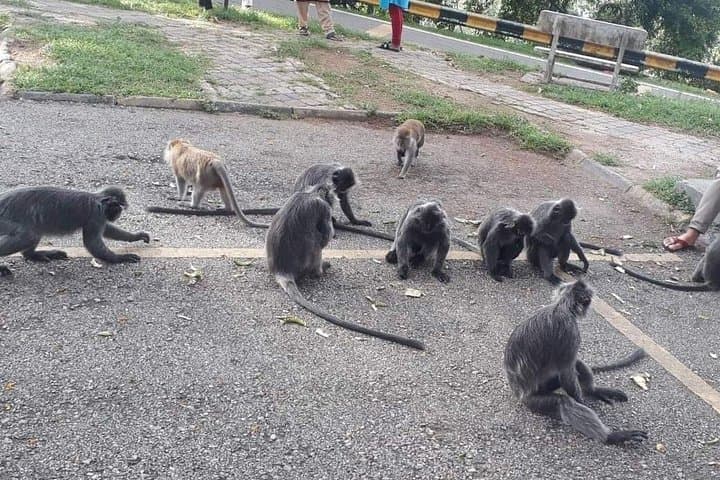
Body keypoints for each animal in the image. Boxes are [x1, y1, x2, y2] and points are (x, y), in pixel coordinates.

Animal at [0, 186, 150, 276]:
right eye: (118, 207)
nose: (118, 214)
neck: (97, 199)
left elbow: (107, 230)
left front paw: (136, 236)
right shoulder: (96, 214)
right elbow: (92, 243)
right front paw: (121, 258)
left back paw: (32, 255)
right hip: (5, 221)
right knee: (29, 236)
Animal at [266, 183, 425, 350]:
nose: (334, 199)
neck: (310, 194)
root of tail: (282, 270)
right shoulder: (323, 208)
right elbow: (325, 238)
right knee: (317, 240)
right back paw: (320, 271)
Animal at [504, 279, 648, 445]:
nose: (588, 306)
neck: (560, 307)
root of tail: (517, 391)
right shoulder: (570, 331)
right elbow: (567, 374)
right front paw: (583, 403)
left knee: (576, 363)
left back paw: (594, 391)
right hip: (532, 399)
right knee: (564, 401)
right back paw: (611, 437)